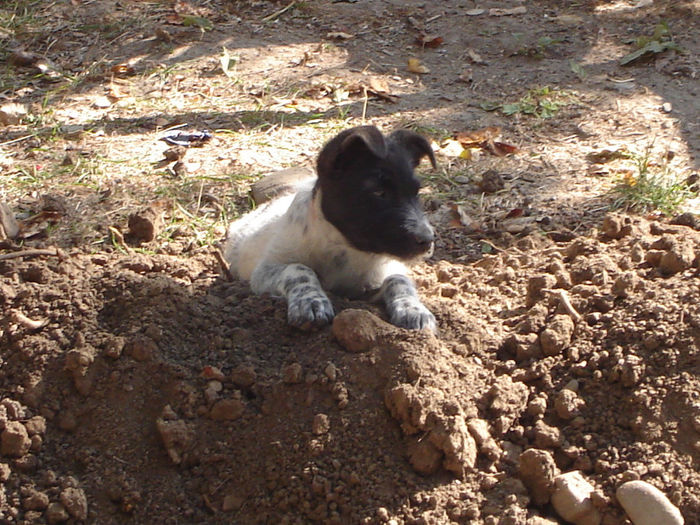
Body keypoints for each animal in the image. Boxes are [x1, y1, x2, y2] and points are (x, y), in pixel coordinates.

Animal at [226, 125, 438, 332]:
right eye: (378, 192)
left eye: (416, 192)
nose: (428, 241)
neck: (342, 247)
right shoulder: (262, 273)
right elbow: (298, 269)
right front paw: (311, 302)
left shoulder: (366, 287)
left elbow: (398, 279)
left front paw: (413, 309)